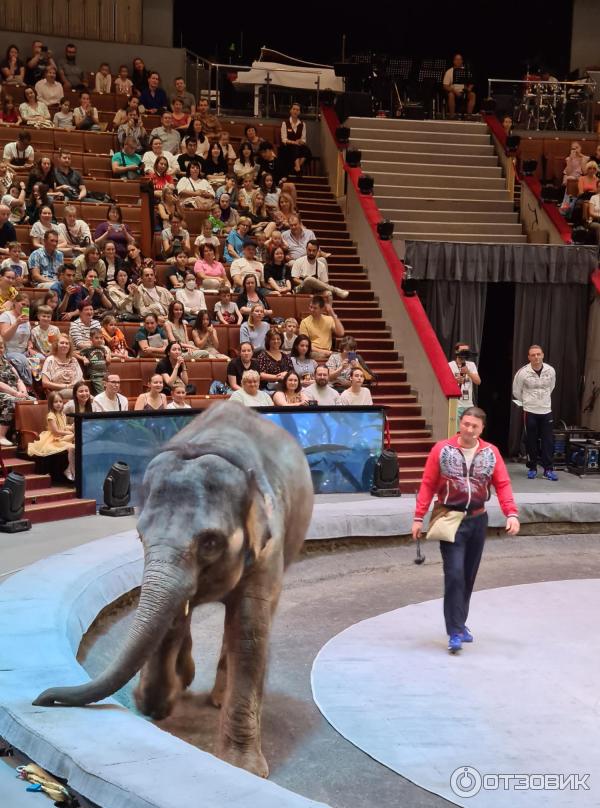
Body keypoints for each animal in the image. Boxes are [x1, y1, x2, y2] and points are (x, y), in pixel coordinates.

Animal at [34, 402, 314, 776]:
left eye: (210, 542)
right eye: (140, 536)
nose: (42, 698)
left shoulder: (270, 545)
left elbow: (249, 630)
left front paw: (244, 769)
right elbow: (170, 618)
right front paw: (157, 702)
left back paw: (217, 698)